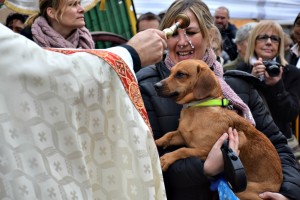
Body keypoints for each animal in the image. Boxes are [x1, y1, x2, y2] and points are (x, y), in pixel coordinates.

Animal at [154, 59, 282, 198]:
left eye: (181, 74)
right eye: (171, 72)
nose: (156, 85)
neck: (198, 107)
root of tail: (278, 185)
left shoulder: (205, 150)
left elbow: (183, 150)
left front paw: (167, 158)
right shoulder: (183, 136)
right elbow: (169, 135)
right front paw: (156, 142)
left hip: (244, 191)